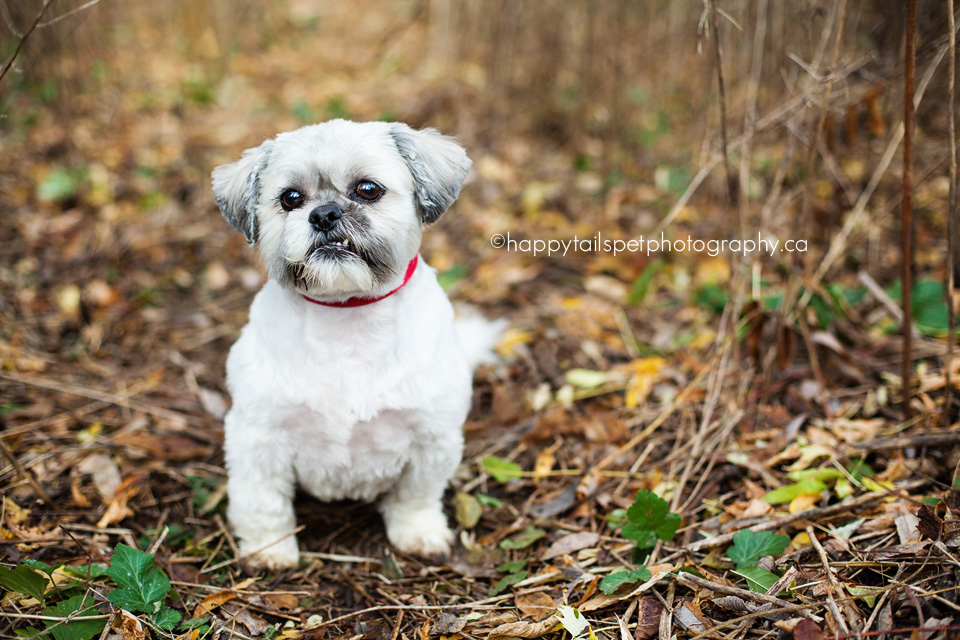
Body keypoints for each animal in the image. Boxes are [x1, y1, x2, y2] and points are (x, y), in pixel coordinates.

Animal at [210, 119, 496, 568]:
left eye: (367, 189)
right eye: (290, 198)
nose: (324, 213)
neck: (347, 318)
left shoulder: (432, 437)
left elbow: (416, 495)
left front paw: (418, 531)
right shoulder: (257, 437)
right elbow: (262, 501)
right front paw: (269, 549)